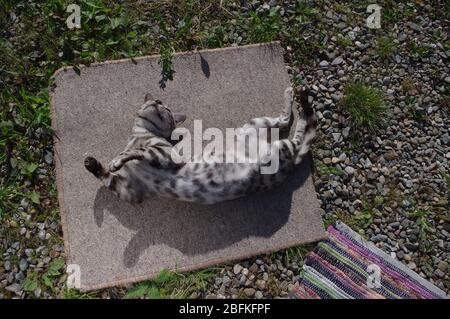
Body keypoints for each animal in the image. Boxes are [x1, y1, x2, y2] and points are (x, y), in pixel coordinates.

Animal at [84, 87, 316, 205]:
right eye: (159, 102)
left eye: (166, 107)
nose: (158, 101)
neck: (141, 134)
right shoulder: (130, 192)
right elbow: (106, 176)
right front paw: (91, 163)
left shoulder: (167, 155)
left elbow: (136, 151)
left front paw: (117, 159)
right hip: (254, 127)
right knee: (290, 125)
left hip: (275, 142)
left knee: (294, 127)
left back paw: (298, 95)